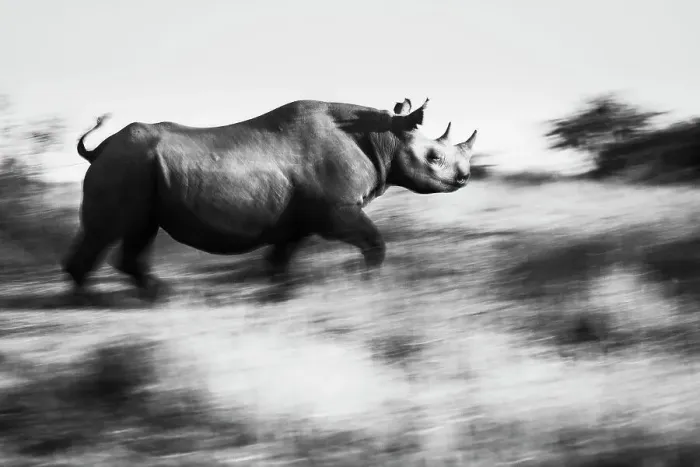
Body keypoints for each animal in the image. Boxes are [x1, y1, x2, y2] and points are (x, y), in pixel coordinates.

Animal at [63, 97, 477, 300]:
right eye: (434, 158)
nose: (464, 178)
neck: (383, 137)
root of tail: (98, 151)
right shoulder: (337, 210)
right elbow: (374, 242)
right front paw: (368, 282)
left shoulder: (300, 218)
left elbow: (281, 256)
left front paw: (280, 290)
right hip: (126, 166)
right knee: (108, 232)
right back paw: (91, 300)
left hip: (139, 170)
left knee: (136, 232)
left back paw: (156, 295)